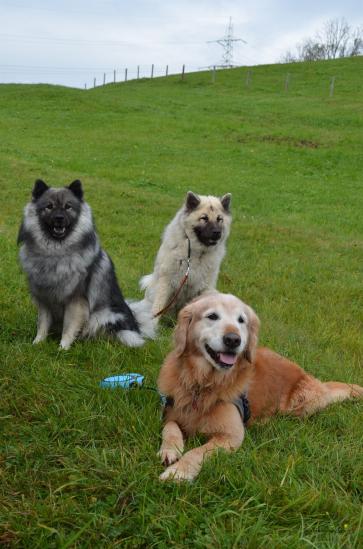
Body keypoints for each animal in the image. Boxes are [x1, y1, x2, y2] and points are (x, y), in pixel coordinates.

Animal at [17, 181, 154, 352]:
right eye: (49, 206)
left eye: (68, 207)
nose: (59, 218)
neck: (56, 253)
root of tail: (136, 324)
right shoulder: (44, 299)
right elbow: (42, 324)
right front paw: (38, 343)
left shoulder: (76, 301)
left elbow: (69, 327)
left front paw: (62, 348)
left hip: (103, 316)